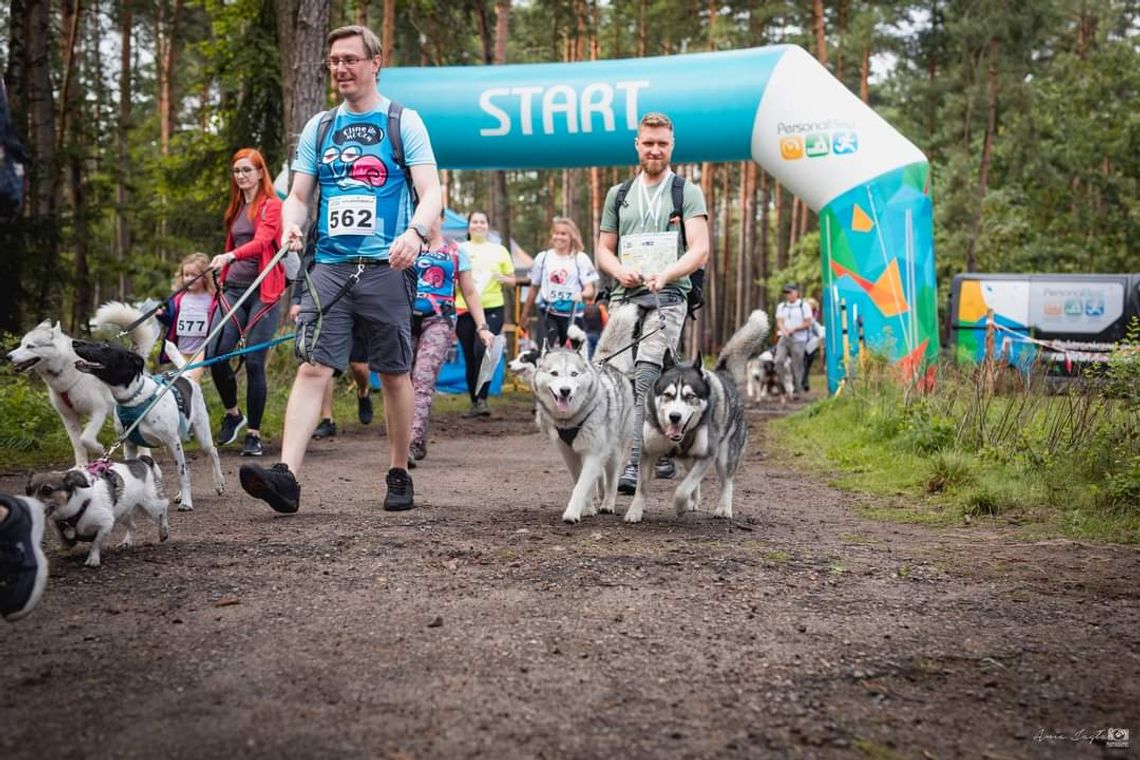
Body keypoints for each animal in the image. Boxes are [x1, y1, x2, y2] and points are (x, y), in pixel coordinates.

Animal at [26, 455, 169, 567]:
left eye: (47, 490)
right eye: (27, 490)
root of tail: (142, 460)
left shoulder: (105, 524)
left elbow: (96, 542)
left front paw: (93, 558)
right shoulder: (57, 525)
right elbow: (64, 540)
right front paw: (67, 549)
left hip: (151, 506)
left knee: (163, 510)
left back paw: (163, 531)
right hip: (122, 513)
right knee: (133, 526)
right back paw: (127, 541)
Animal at [70, 339, 224, 510]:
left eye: (105, 346)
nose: (75, 342)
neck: (133, 399)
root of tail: (186, 377)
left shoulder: (173, 442)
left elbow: (182, 474)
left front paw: (186, 502)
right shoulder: (129, 444)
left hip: (200, 436)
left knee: (211, 453)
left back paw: (219, 483)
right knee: (187, 466)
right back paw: (180, 494)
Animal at [624, 309, 775, 524]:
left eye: (691, 396)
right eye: (668, 395)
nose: (675, 416)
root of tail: (723, 375)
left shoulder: (707, 455)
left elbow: (682, 489)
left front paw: (680, 506)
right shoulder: (648, 451)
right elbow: (642, 487)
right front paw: (635, 511)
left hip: (726, 453)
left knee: (726, 480)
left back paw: (723, 508)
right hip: (690, 458)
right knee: (692, 476)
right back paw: (695, 500)